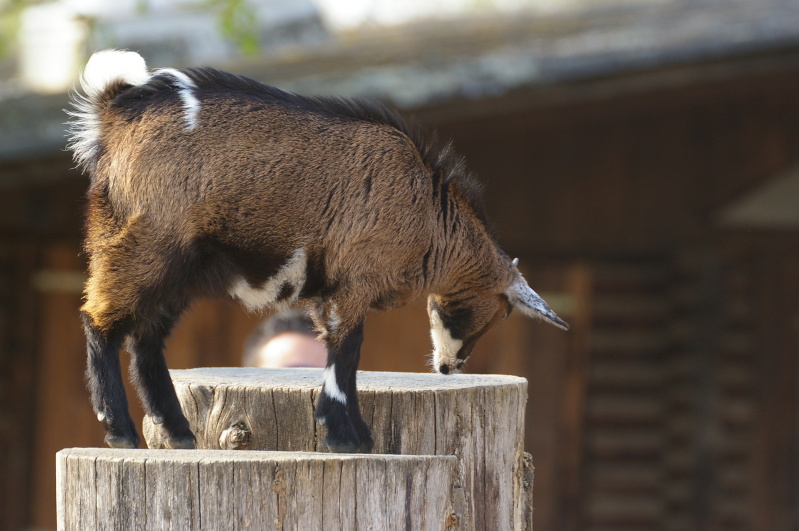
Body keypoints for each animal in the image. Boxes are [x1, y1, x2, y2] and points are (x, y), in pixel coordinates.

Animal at [69, 51, 568, 454]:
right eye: (497, 312)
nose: (449, 368)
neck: (429, 210)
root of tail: (114, 109)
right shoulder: (352, 284)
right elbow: (346, 354)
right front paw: (348, 437)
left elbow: (343, 356)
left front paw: (353, 434)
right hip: (146, 244)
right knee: (100, 320)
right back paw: (120, 431)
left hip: (176, 269)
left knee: (145, 337)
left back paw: (177, 433)